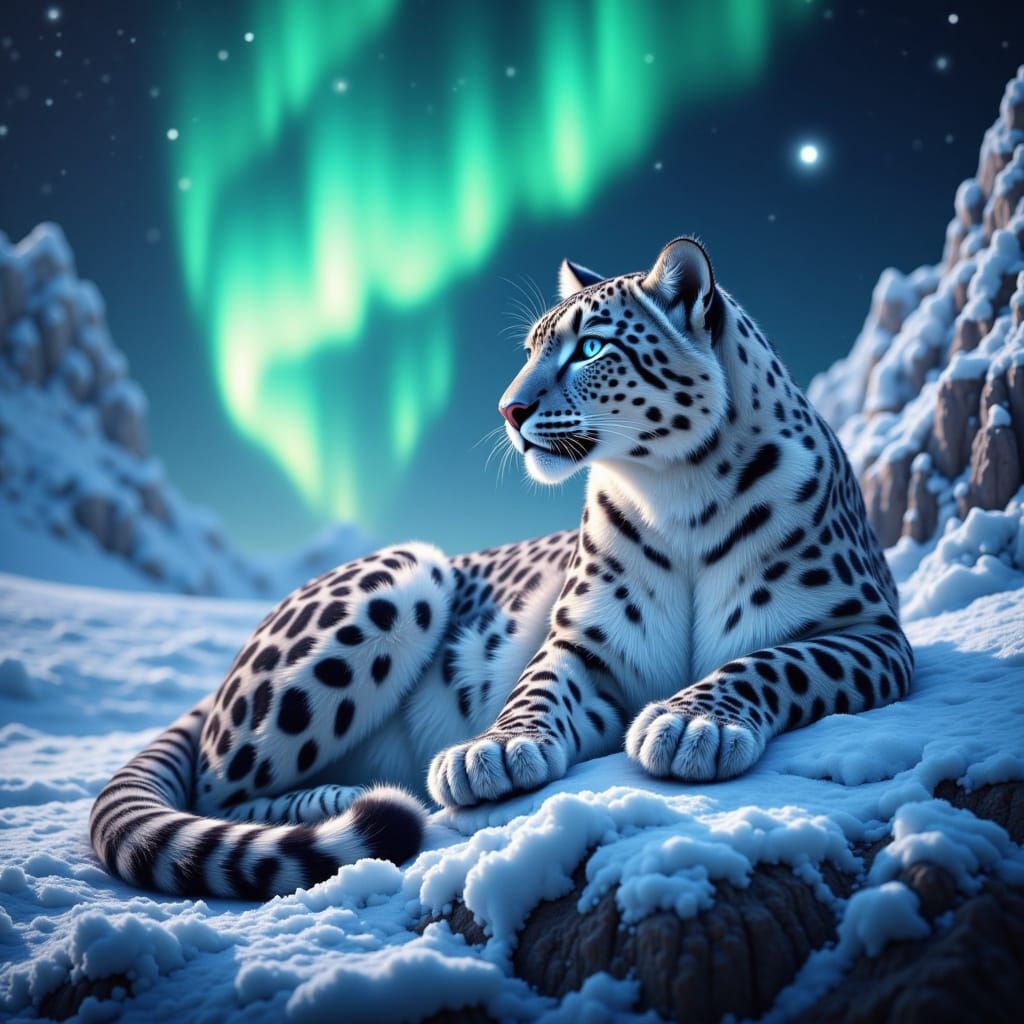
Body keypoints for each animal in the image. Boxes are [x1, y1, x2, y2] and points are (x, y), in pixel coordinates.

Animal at [90, 237, 913, 899]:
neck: (677, 492)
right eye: (532, 348)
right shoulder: (585, 645)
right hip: (400, 578)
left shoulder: (870, 631)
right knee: (215, 790)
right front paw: (491, 753)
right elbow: (538, 689)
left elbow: (774, 661)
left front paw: (690, 723)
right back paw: (347, 801)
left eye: (591, 349)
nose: (508, 410)